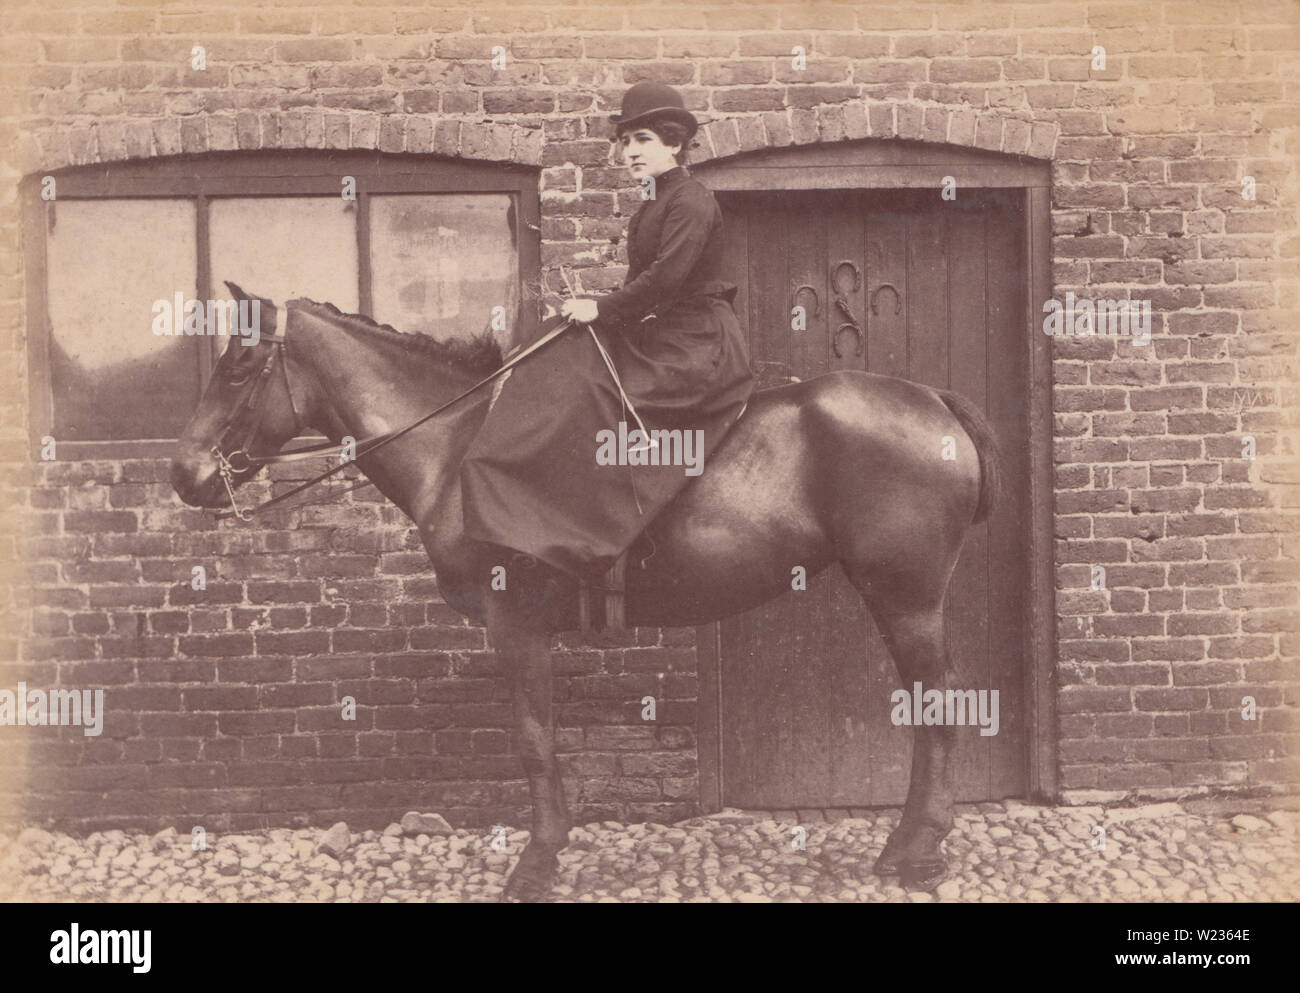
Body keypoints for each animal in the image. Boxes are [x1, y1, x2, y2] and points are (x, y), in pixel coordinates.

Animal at [172, 283, 998, 904]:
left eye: (240, 364)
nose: (184, 474)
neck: (457, 446)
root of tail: (934, 400)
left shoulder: (514, 626)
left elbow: (534, 740)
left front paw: (536, 861)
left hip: (906, 595)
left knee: (938, 704)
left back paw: (919, 850)